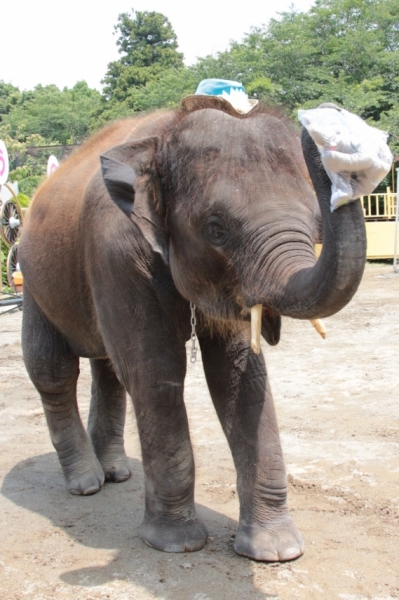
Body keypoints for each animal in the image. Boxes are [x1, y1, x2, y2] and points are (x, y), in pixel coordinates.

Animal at [18, 97, 368, 564]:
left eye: (315, 223)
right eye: (216, 229)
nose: (326, 113)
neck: (165, 135)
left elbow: (239, 375)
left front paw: (275, 551)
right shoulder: (116, 251)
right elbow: (155, 372)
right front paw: (175, 543)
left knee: (107, 369)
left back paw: (116, 473)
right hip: (32, 280)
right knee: (53, 372)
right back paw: (87, 483)